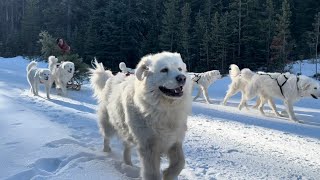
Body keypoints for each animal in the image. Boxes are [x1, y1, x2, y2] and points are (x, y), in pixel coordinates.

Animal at [90, 51, 191, 180]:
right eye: (164, 70)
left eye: (180, 69)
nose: (182, 78)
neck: (163, 108)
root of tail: (111, 77)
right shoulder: (148, 146)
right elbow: (152, 173)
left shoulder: (174, 141)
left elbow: (180, 162)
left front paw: (168, 174)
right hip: (108, 124)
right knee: (106, 138)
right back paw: (107, 153)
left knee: (126, 147)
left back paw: (128, 164)